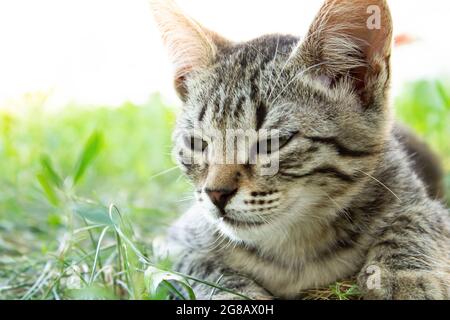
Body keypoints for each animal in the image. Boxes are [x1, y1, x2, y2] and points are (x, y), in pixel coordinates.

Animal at [151, 0, 450, 300]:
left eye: (272, 143)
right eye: (196, 143)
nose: (216, 194)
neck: (295, 243)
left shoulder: (422, 202)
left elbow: (415, 222)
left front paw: (405, 276)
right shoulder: (173, 244)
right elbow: (207, 272)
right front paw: (236, 295)